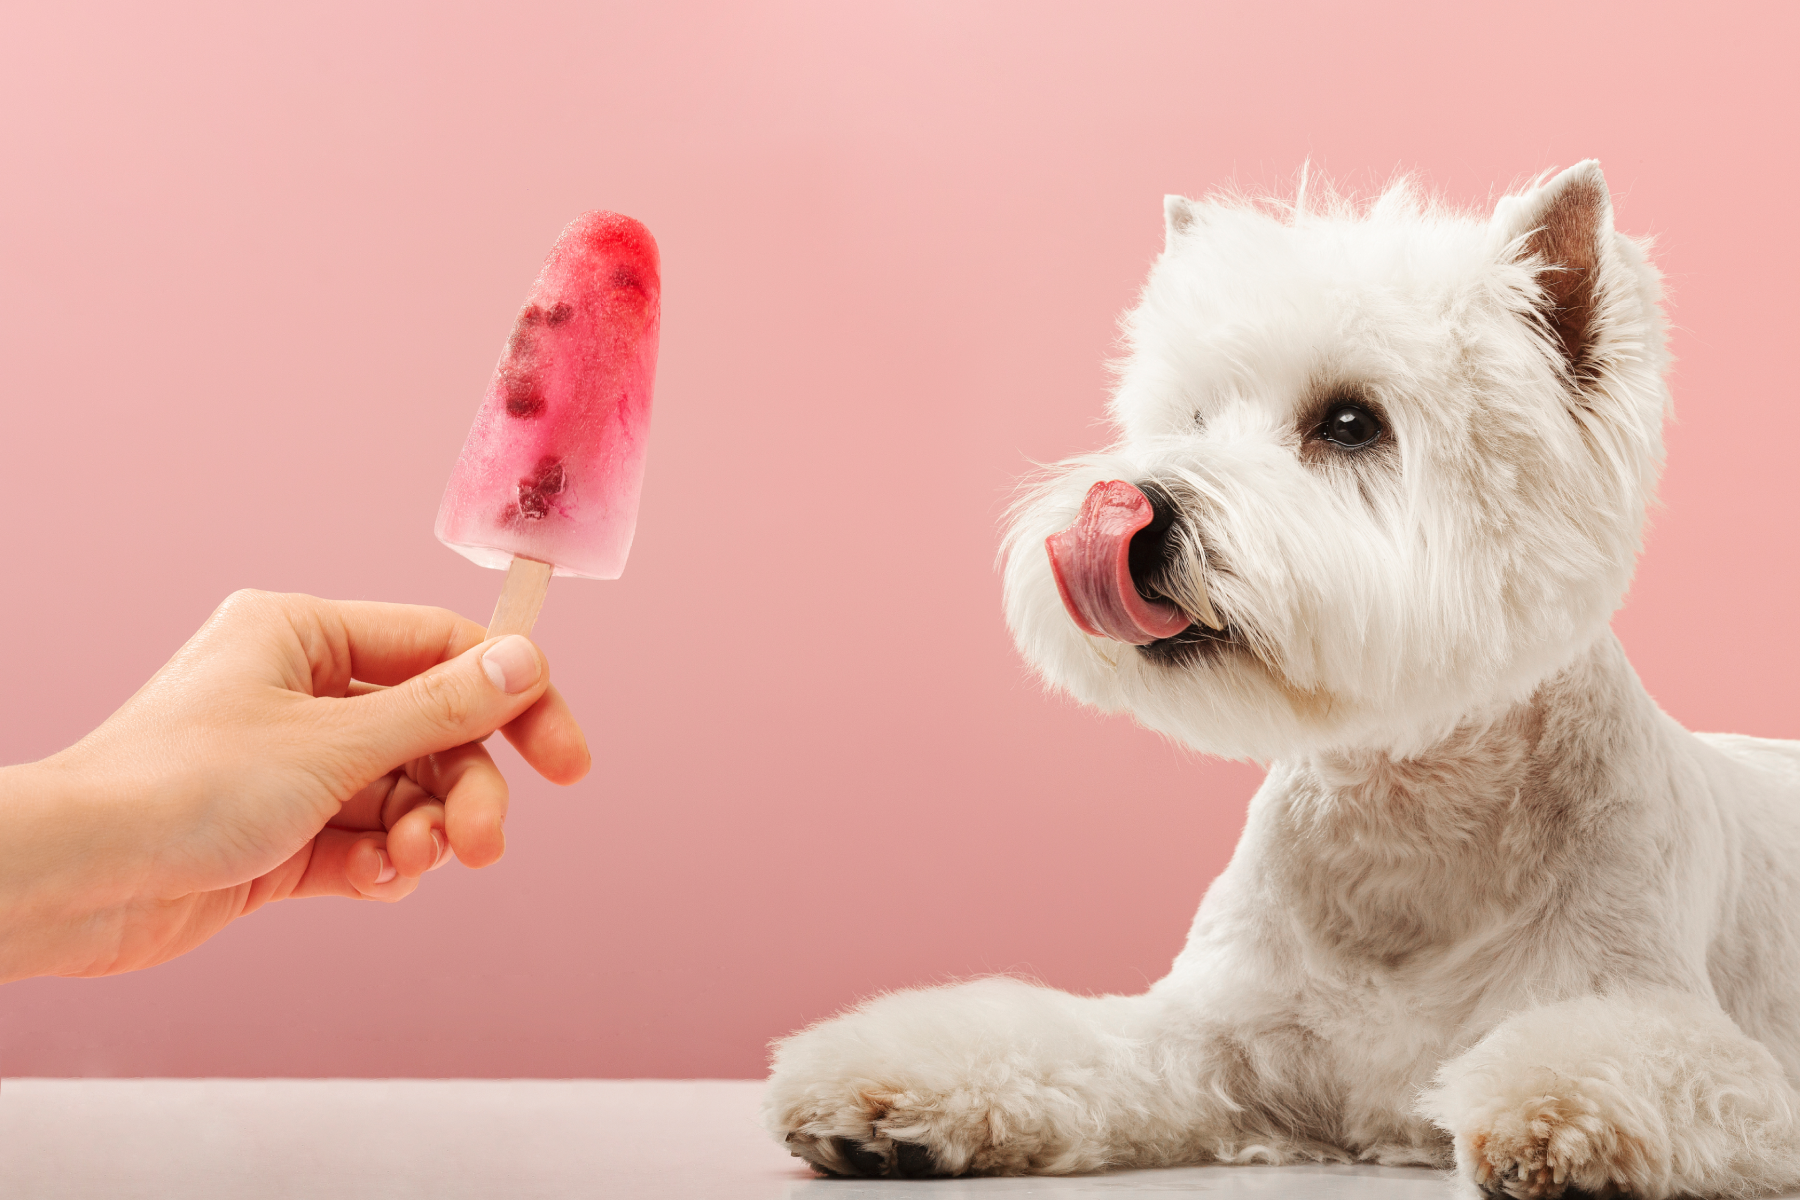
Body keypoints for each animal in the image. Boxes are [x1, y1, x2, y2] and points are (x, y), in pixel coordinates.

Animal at [766, 161, 1800, 1200]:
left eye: (1348, 424)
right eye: (1191, 415)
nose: (1132, 507)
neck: (1406, 826)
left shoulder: (1665, 1018)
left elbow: (1629, 1061)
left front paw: (1554, 1121)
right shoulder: (1208, 1032)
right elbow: (1064, 1039)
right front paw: (880, 1092)